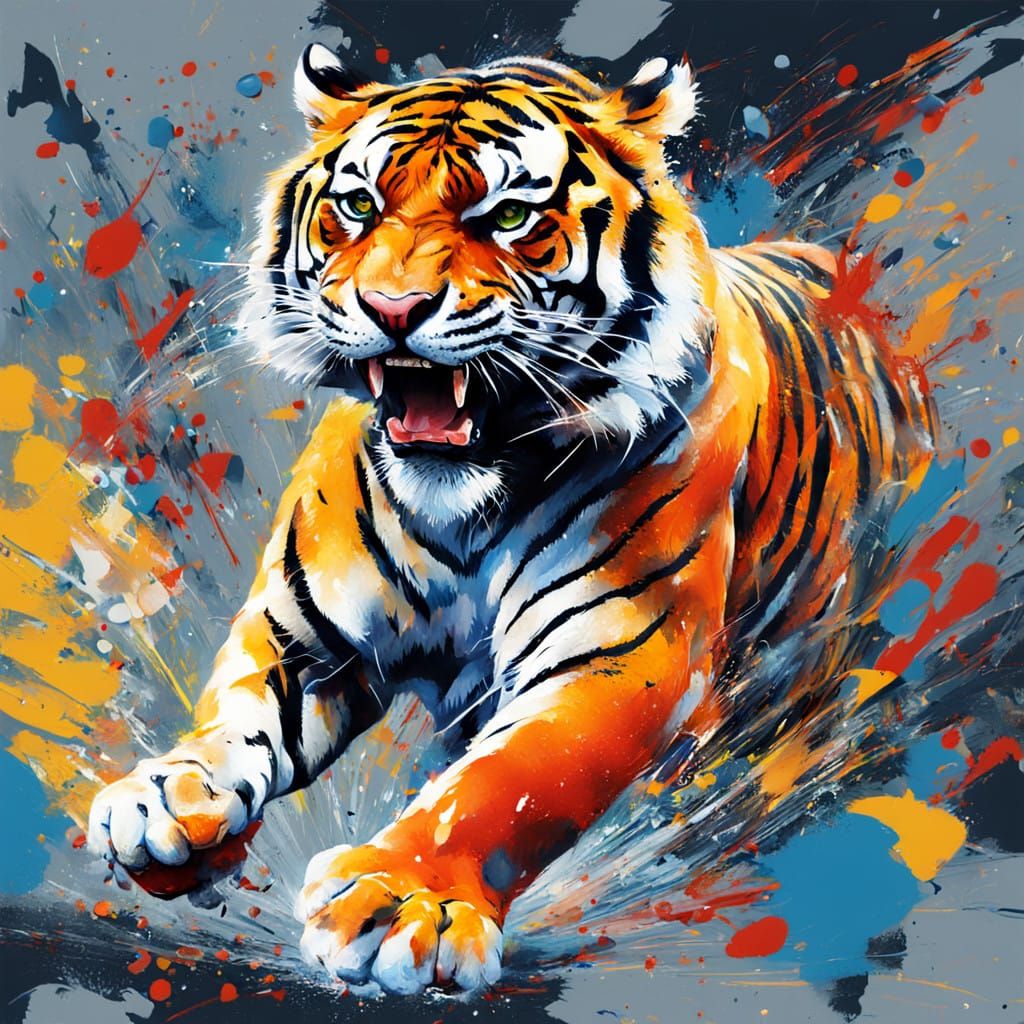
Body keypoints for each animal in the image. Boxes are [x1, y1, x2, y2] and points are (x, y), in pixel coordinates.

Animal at [88, 44, 932, 995]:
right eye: (359, 205)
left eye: (510, 215)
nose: (392, 310)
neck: (460, 503)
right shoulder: (303, 634)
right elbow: (235, 708)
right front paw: (167, 792)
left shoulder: (618, 654)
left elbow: (503, 784)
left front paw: (400, 899)